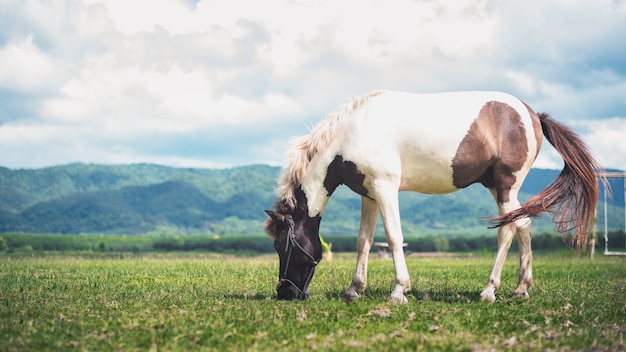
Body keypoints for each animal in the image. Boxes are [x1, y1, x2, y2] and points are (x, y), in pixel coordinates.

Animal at [262, 90, 600, 302]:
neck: (353, 133)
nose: (285, 293)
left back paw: (489, 291)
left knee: (507, 231)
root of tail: (533, 115)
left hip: (507, 186)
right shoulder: (369, 195)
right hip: (499, 188)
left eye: (283, 245)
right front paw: (354, 289)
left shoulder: (385, 188)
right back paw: (520, 289)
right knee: (524, 227)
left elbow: (394, 237)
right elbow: (364, 241)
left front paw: (399, 291)